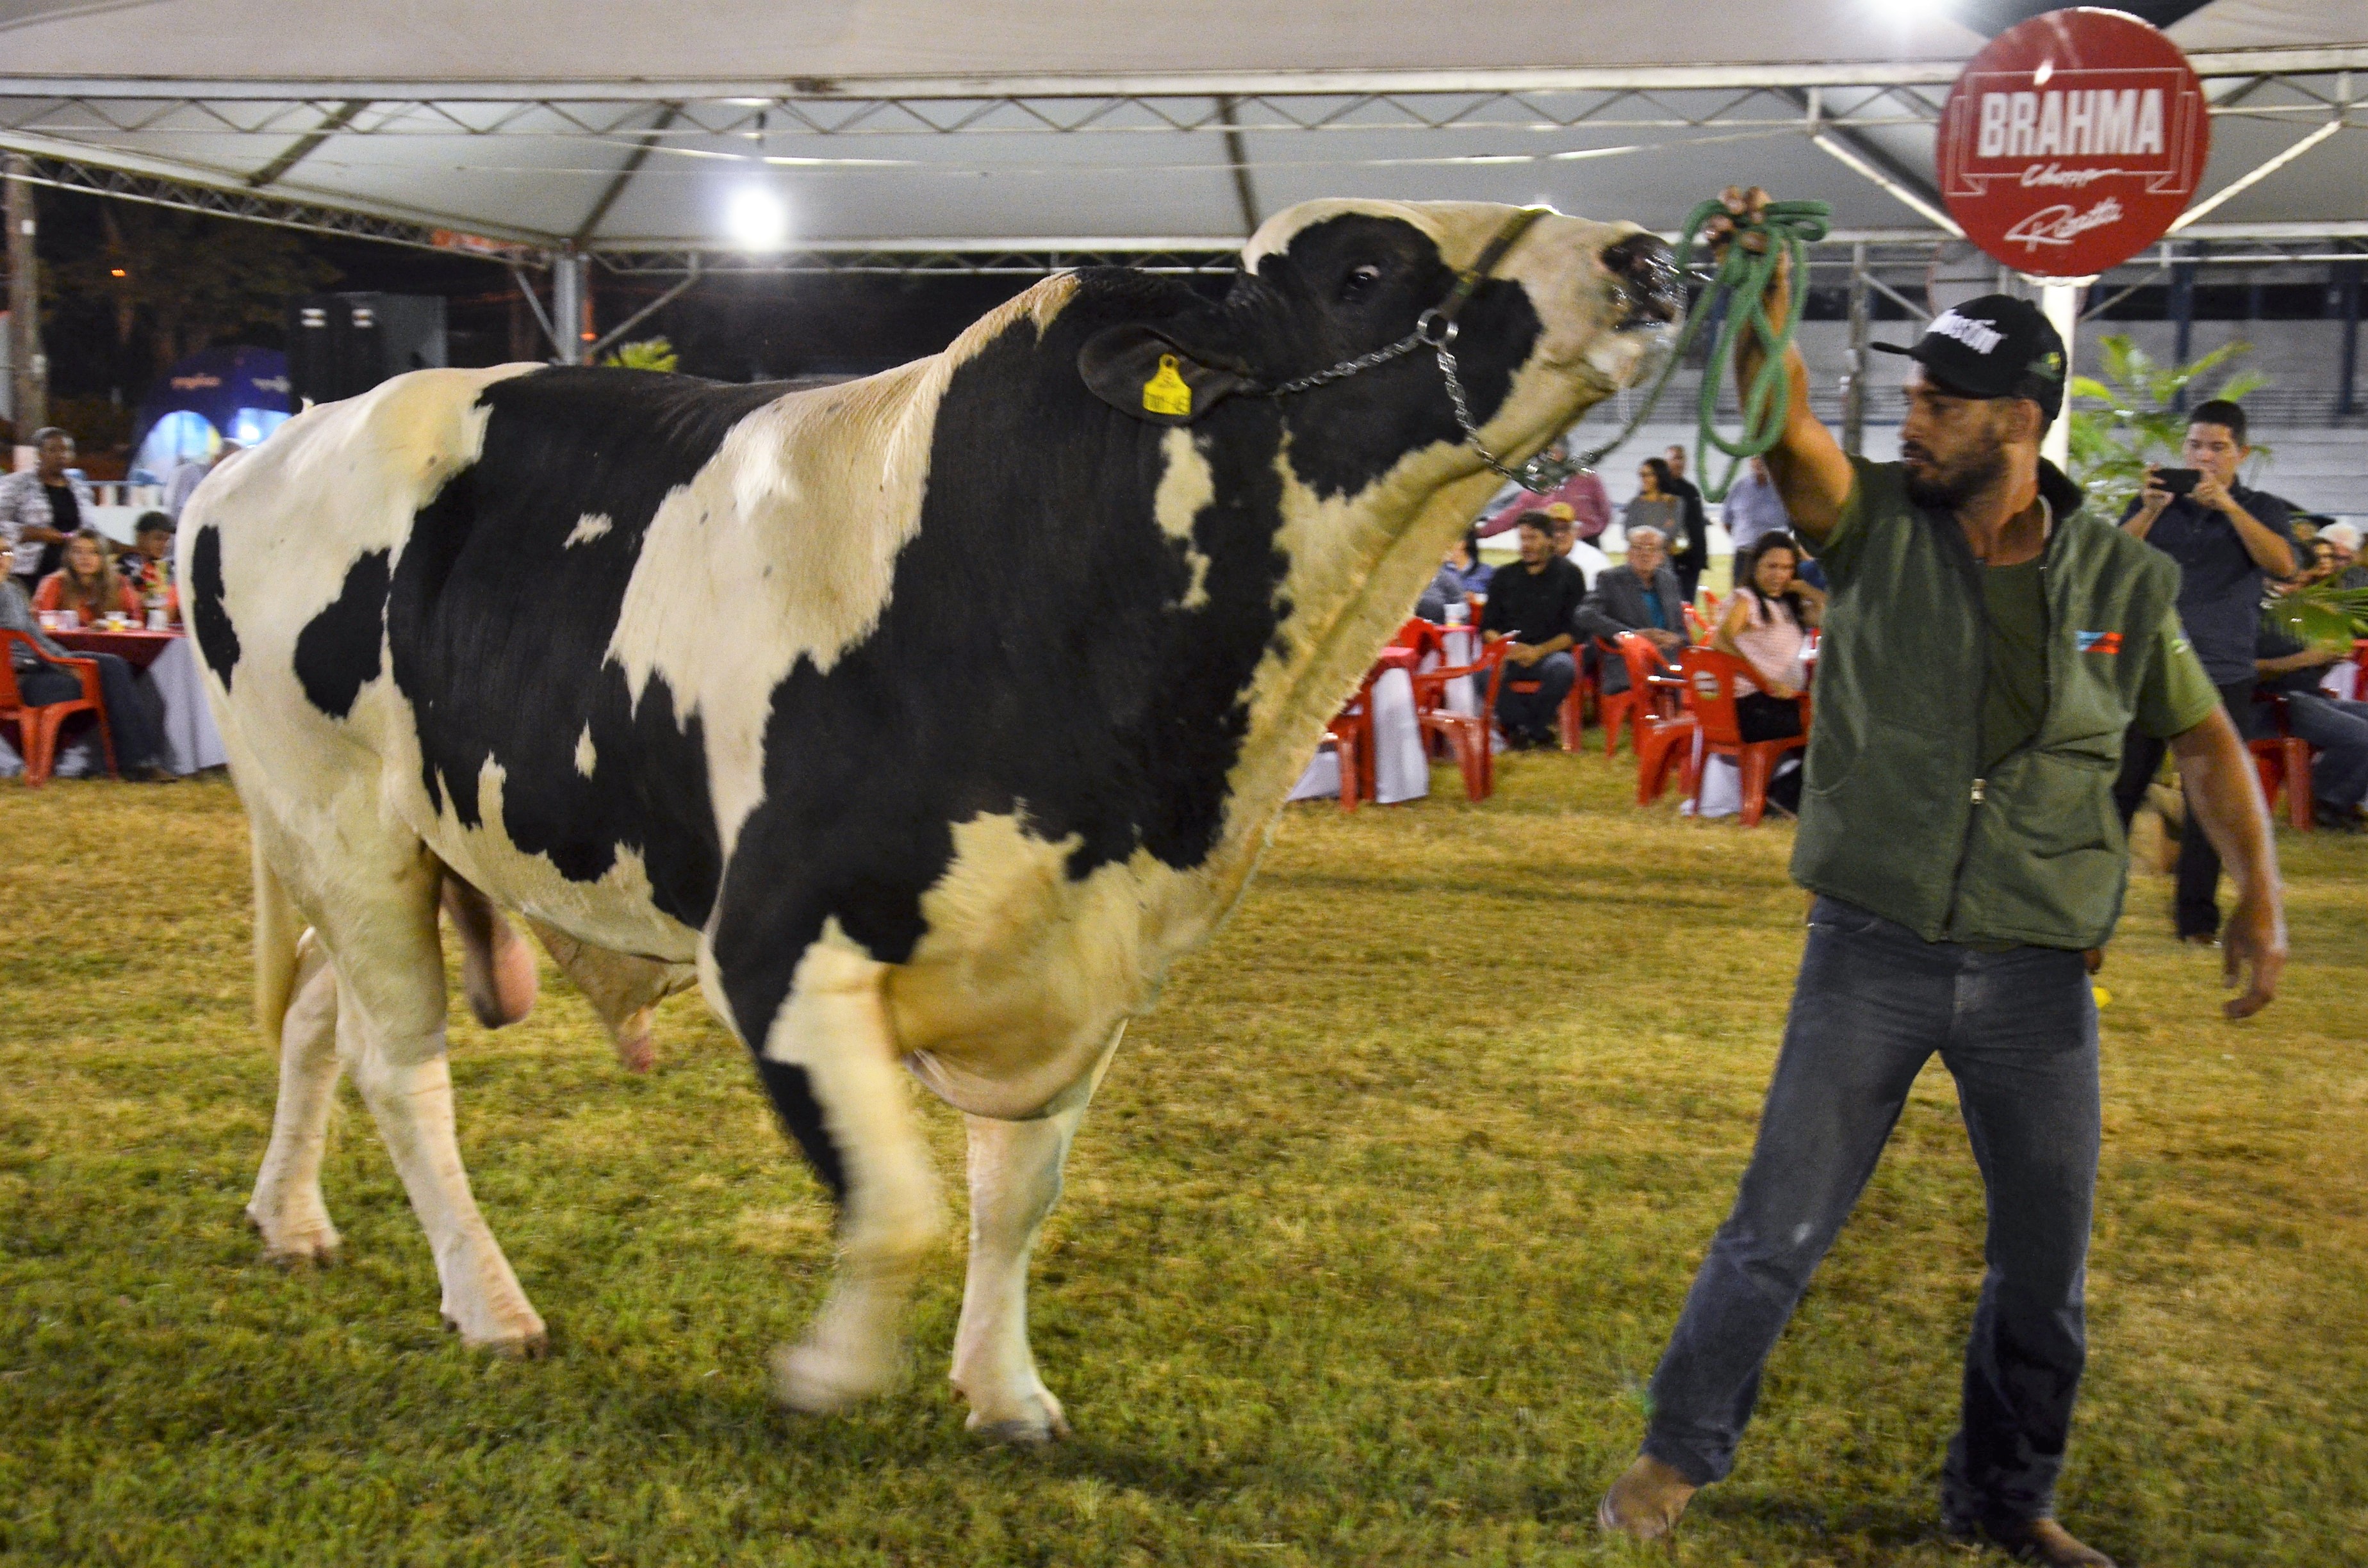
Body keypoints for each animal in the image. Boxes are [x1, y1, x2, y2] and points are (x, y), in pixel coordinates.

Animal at [185, 202, 1676, 1440]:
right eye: (1362, 272)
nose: (1644, 255)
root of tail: (256, 458)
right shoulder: (775, 949)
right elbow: (897, 1205)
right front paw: (830, 1371)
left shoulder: (1076, 961)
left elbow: (1015, 1202)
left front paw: (1005, 1393)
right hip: (339, 822)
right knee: (399, 1063)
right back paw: (492, 1306)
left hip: (379, 849)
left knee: (315, 1014)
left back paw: (290, 1216)